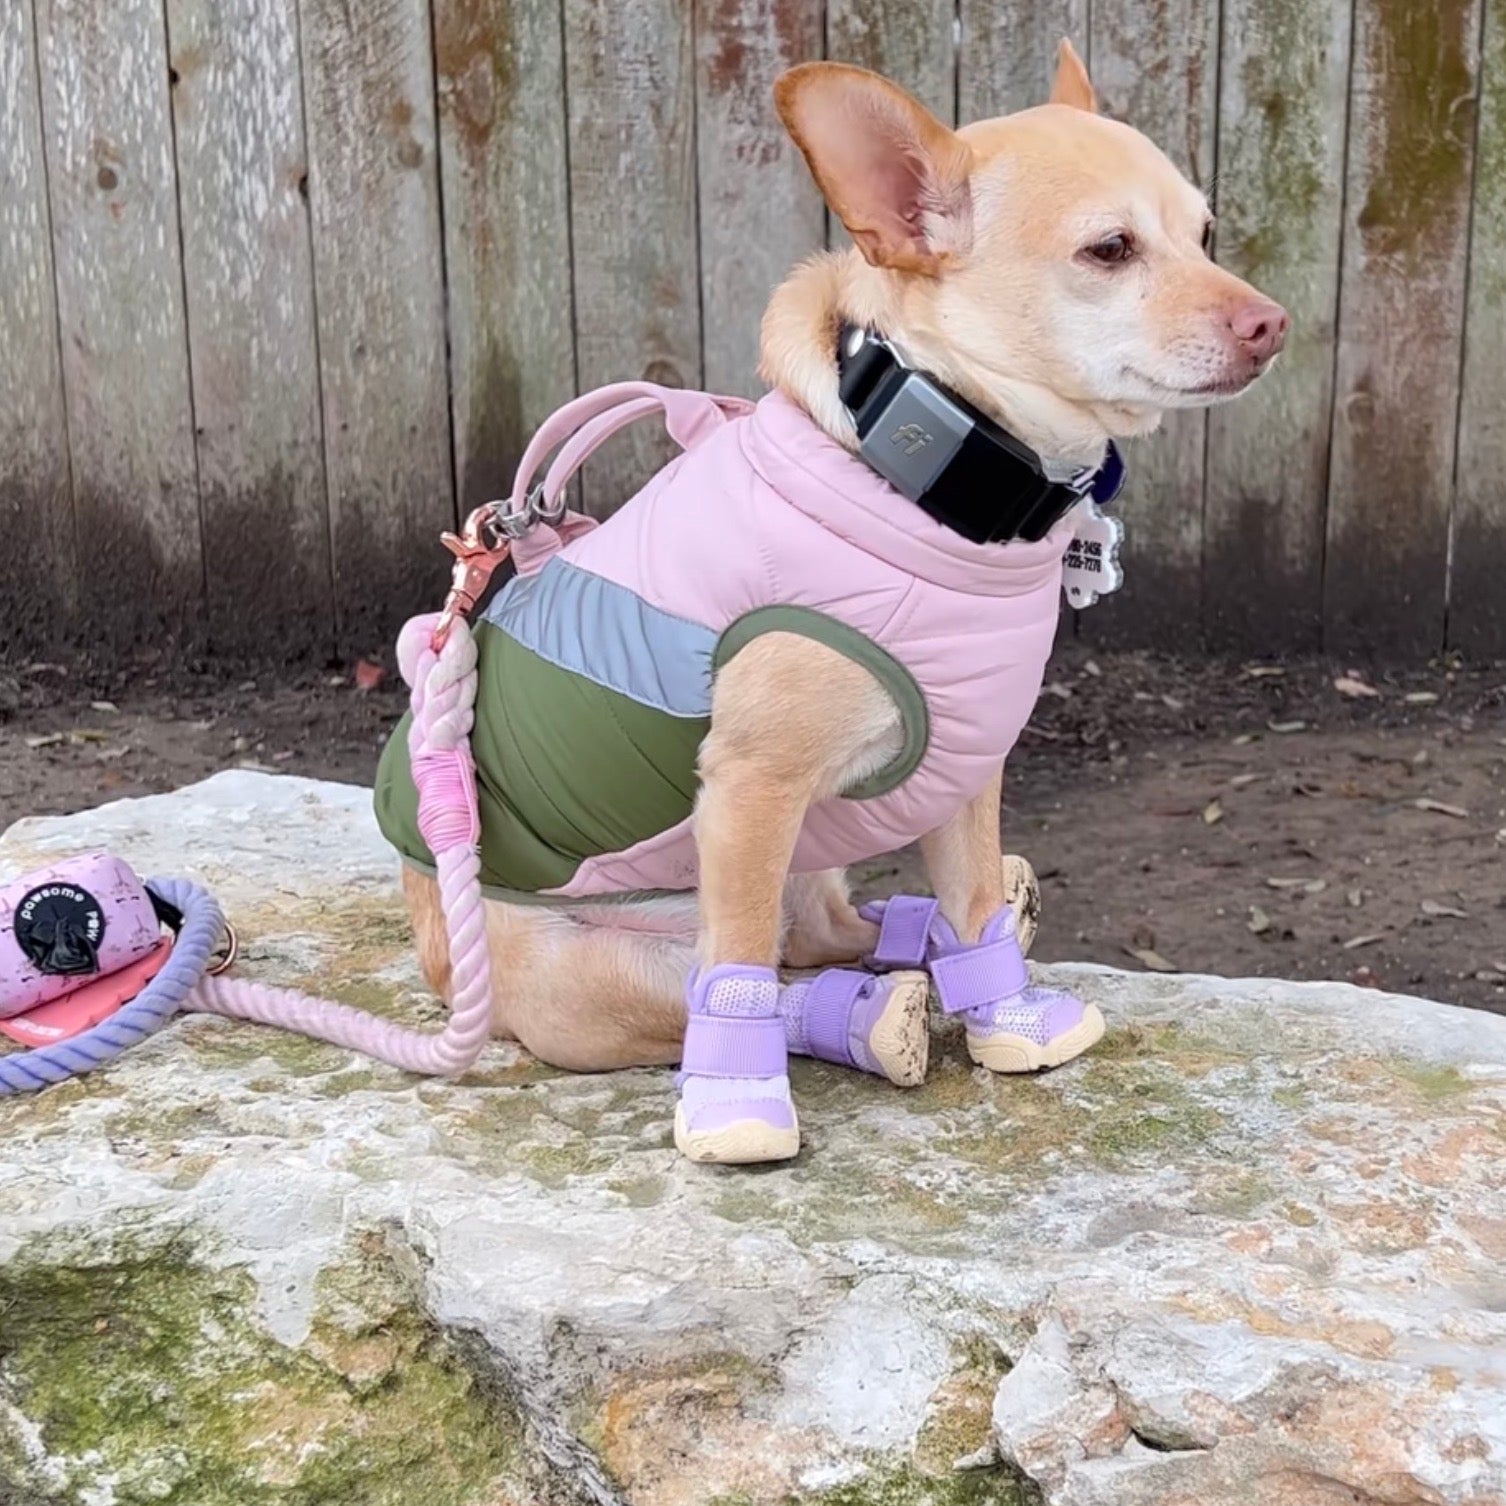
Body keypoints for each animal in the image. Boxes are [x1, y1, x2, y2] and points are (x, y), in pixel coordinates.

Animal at [375, 42, 1287, 1165]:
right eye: (1109, 250)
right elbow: (737, 982)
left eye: (1205, 234)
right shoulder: (749, 792)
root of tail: (439, 949)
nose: (1272, 322)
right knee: (748, 979)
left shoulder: (966, 769)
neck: (939, 486)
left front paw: (1011, 1019)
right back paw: (862, 1018)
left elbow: (972, 899)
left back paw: (908, 945)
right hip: (597, 972)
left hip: (807, 862)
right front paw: (736, 1110)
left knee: (816, 936)